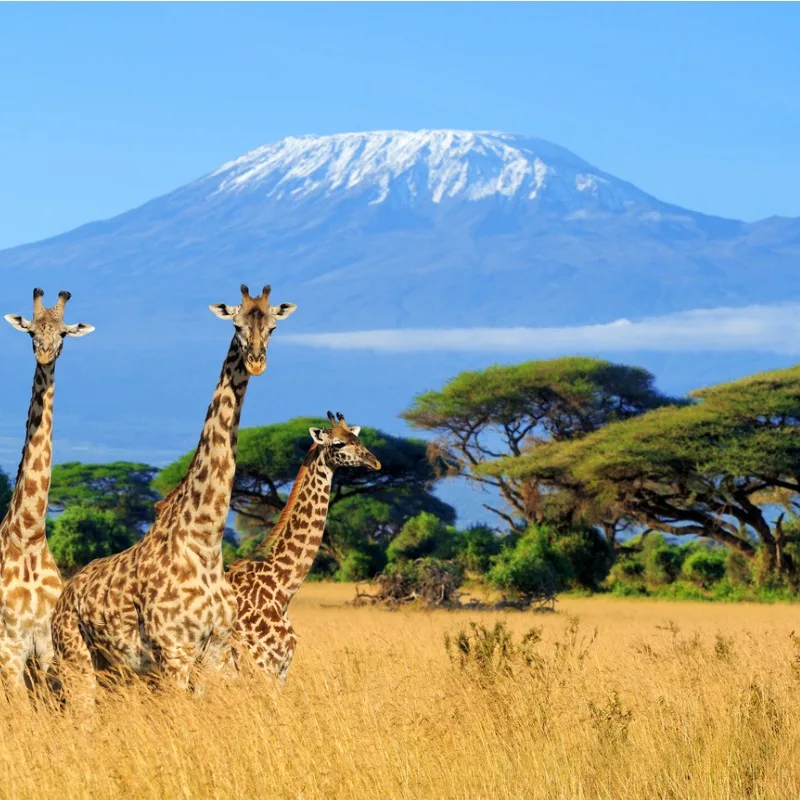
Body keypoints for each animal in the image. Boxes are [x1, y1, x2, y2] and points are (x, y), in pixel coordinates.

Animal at [52, 284, 296, 696]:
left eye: (273, 326)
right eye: (236, 324)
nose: (256, 361)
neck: (205, 540)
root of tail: (63, 597)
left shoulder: (215, 652)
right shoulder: (174, 653)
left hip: (114, 671)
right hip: (76, 661)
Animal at [227, 412, 380, 680]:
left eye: (357, 439)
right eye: (338, 443)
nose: (375, 463)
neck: (281, 588)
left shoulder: (281, 670)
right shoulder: (263, 666)